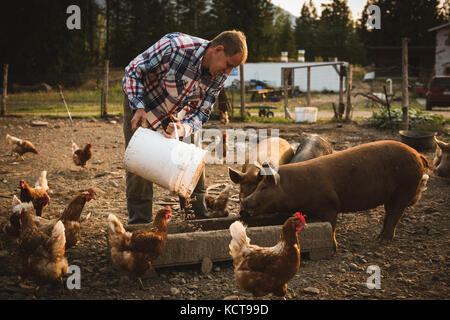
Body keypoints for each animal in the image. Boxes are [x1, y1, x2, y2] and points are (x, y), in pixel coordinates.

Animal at [241, 141, 430, 250]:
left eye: (264, 187)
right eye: (259, 185)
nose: (244, 202)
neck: (295, 187)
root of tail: (418, 155)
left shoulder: (330, 205)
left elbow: (331, 226)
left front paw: (334, 248)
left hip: (406, 186)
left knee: (396, 212)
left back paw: (383, 241)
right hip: (393, 193)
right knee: (390, 213)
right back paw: (379, 237)